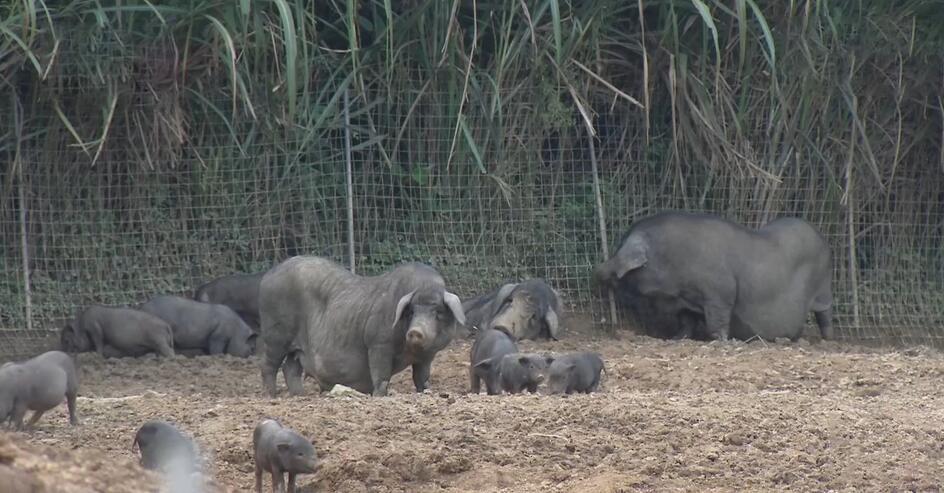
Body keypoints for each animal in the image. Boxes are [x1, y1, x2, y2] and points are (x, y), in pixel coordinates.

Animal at [260, 256, 466, 398]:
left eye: (438, 312)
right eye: (411, 311)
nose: (415, 331)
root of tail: (267, 276)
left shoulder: (427, 356)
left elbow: (422, 378)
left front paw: (425, 391)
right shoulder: (378, 342)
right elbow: (381, 374)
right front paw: (380, 396)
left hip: (296, 347)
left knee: (290, 368)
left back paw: (299, 395)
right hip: (275, 335)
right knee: (269, 366)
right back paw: (272, 396)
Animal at [596, 211, 832, 342]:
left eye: (619, 248)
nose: (597, 270)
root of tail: (819, 235)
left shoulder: (720, 291)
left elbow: (718, 317)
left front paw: (720, 341)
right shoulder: (686, 301)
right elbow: (687, 321)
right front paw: (677, 338)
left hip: (823, 288)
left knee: (825, 313)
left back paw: (826, 340)